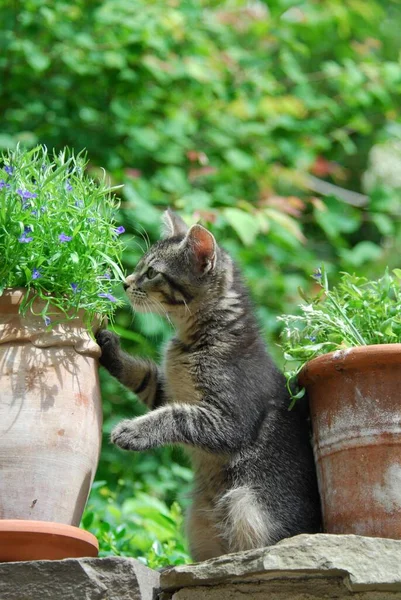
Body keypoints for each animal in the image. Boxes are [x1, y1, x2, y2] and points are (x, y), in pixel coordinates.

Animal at [97, 211, 322, 564]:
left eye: (152, 272)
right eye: (139, 267)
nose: (126, 283)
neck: (193, 342)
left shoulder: (230, 422)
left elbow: (176, 416)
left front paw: (131, 431)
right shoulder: (166, 390)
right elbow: (144, 376)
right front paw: (109, 347)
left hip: (246, 502)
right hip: (199, 520)